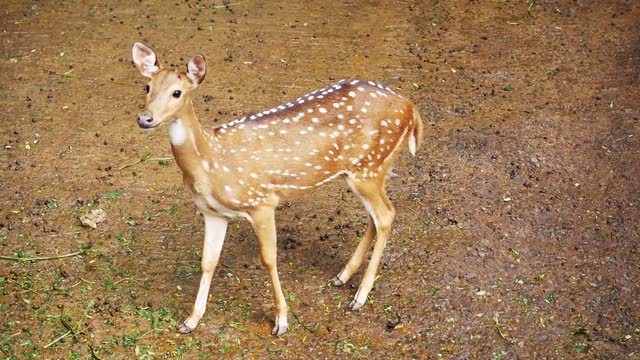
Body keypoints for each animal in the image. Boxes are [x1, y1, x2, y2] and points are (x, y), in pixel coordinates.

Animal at [131, 43, 422, 338]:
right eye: (147, 86)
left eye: (177, 92)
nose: (145, 118)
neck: (211, 162)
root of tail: (411, 109)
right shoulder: (213, 212)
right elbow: (208, 261)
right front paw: (191, 320)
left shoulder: (261, 201)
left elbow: (269, 259)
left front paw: (281, 321)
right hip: (370, 170)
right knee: (376, 216)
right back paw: (343, 276)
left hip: (368, 168)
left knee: (385, 215)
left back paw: (360, 296)